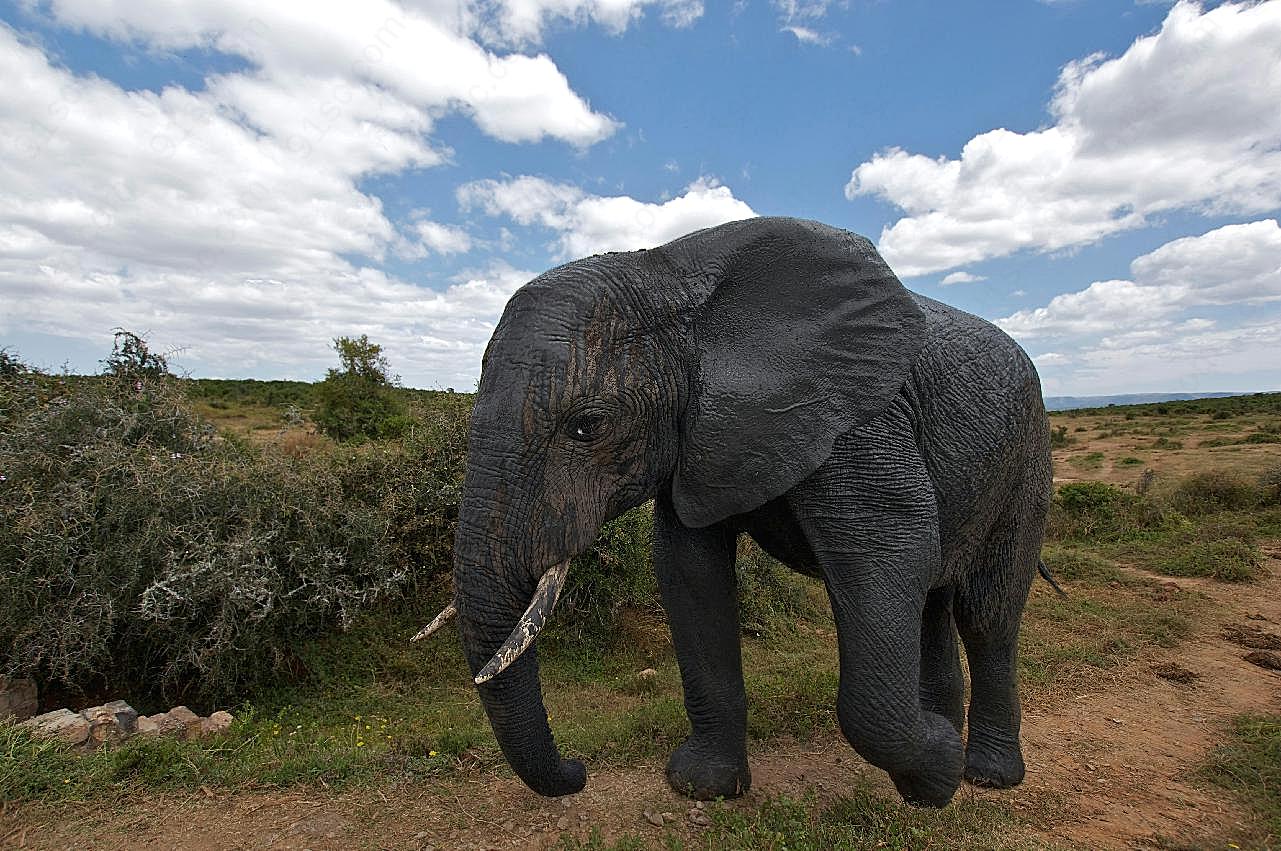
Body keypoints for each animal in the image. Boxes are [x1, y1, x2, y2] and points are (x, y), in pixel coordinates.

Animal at [420, 216, 1050, 809]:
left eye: (587, 426)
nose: (578, 770)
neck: (669, 276)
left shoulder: (861, 416)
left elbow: (888, 554)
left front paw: (937, 778)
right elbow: (689, 573)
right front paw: (704, 788)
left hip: (1028, 455)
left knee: (986, 613)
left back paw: (984, 775)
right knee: (933, 602)